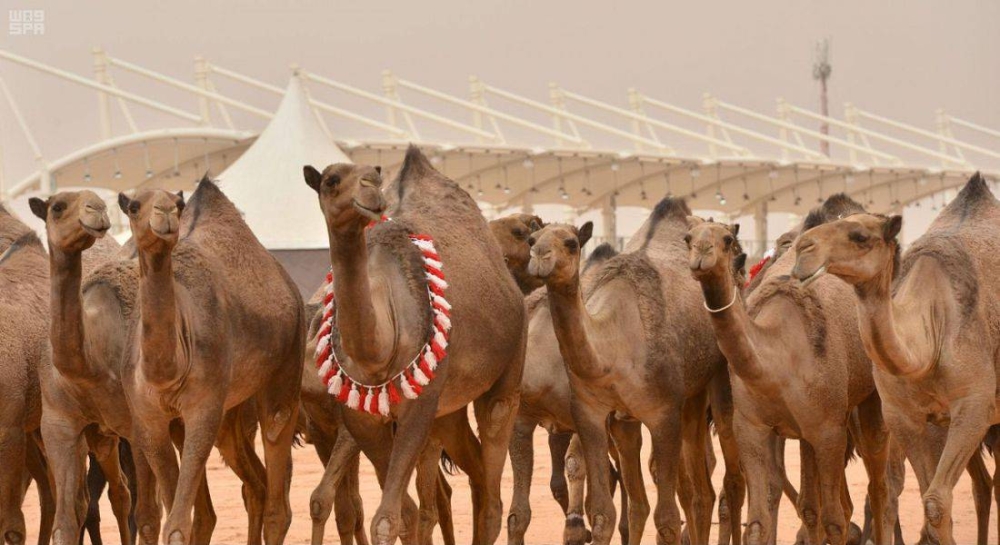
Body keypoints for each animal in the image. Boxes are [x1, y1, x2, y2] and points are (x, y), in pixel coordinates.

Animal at [116, 179, 304, 545]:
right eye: (134, 206)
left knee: (276, 439)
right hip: (231, 411)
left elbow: (177, 524)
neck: (168, 369)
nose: (164, 214)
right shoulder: (149, 419)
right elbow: (180, 513)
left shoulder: (203, 407)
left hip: (288, 356)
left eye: (177, 203)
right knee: (251, 484)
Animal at [303, 145, 525, 545]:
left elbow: (386, 518)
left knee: (493, 491)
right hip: (448, 411)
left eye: (374, 174)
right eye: (331, 180)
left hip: (506, 375)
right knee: (476, 476)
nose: (370, 190)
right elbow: (400, 513)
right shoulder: (361, 419)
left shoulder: (418, 406)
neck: (377, 354)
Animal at [525, 197, 735, 545]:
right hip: (679, 402)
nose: (540, 258)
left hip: (717, 382)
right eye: (532, 240)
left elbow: (666, 517)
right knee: (686, 493)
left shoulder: (663, 412)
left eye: (571, 243)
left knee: (710, 487)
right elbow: (606, 513)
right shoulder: (593, 414)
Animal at [684, 194, 896, 545]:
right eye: (687, 238)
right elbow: (761, 519)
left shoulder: (828, 430)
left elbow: (835, 521)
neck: (776, 360)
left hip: (868, 399)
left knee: (877, 485)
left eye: (728, 241)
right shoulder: (752, 427)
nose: (701, 255)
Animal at [792, 173, 1000, 545]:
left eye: (860, 236)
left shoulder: (976, 405)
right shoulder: (904, 416)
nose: (804, 248)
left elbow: (936, 501)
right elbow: (932, 502)